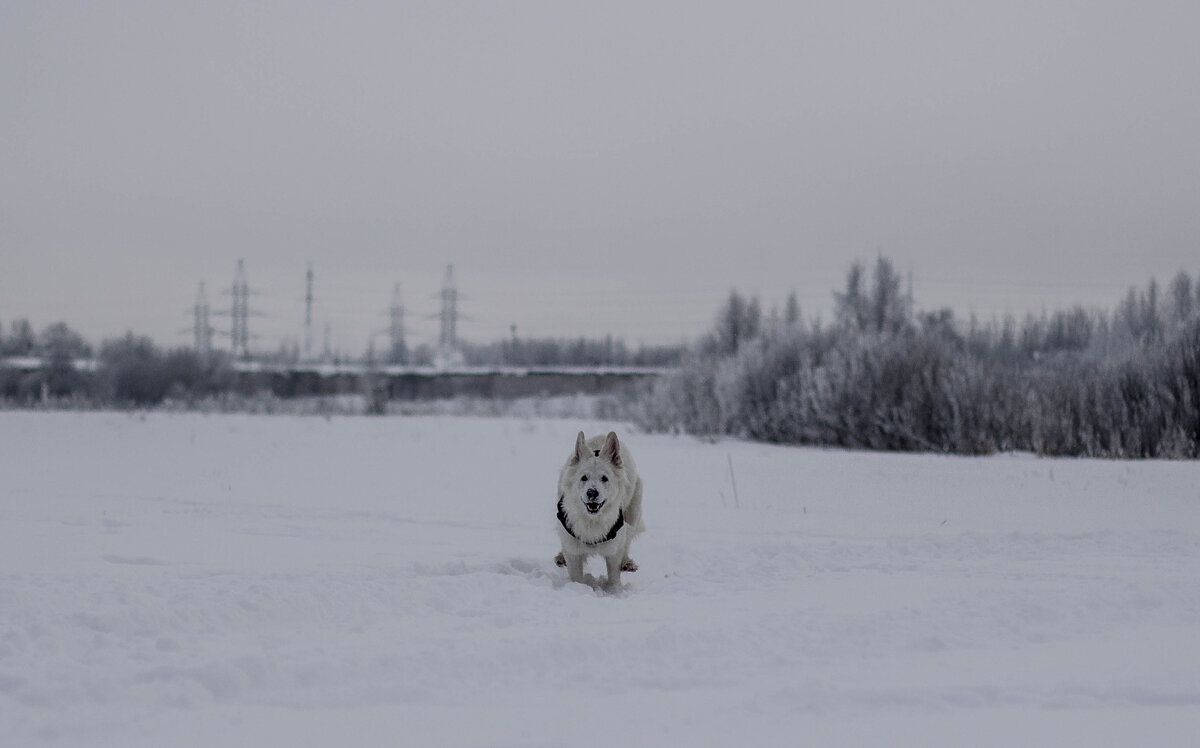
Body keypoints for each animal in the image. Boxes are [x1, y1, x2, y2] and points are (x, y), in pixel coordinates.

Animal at [554, 432, 648, 590]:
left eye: (604, 478)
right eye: (584, 478)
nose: (592, 492)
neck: (592, 520)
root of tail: (602, 435)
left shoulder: (614, 551)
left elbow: (614, 575)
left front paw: (614, 590)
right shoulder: (573, 550)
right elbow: (575, 575)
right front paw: (578, 587)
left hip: (633, 514)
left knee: (627, 540)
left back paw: (627, 562)